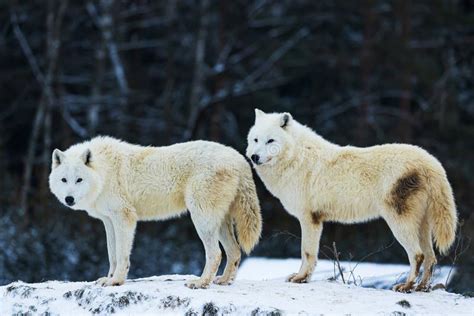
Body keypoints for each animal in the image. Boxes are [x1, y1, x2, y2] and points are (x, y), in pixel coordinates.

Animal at [50, 136, 262, 288]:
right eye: (64, 180)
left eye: (79, 180)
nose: (69, 199)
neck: (104, 172)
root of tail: (239, 159)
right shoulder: (108, 221)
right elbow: (112, 254)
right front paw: (107, 278)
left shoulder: (124, 218)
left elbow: (121, 254)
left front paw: (116, 281)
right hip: (219, 223)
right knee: (234, 252)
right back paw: (223, 280)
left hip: (201, 219)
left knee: (216, 254)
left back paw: (200, 282)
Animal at [246, 110, 458, 292]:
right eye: (255, 139)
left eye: (271, 140)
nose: (254, 157)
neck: (297, 158)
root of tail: (432, 163)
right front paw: (301, 277)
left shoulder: (309, 219)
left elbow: (306, 252)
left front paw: (301, 278)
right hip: (422, 226)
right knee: (431, 258)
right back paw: (421, 287)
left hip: (399, 224)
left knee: (418, 255)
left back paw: (405, 287)